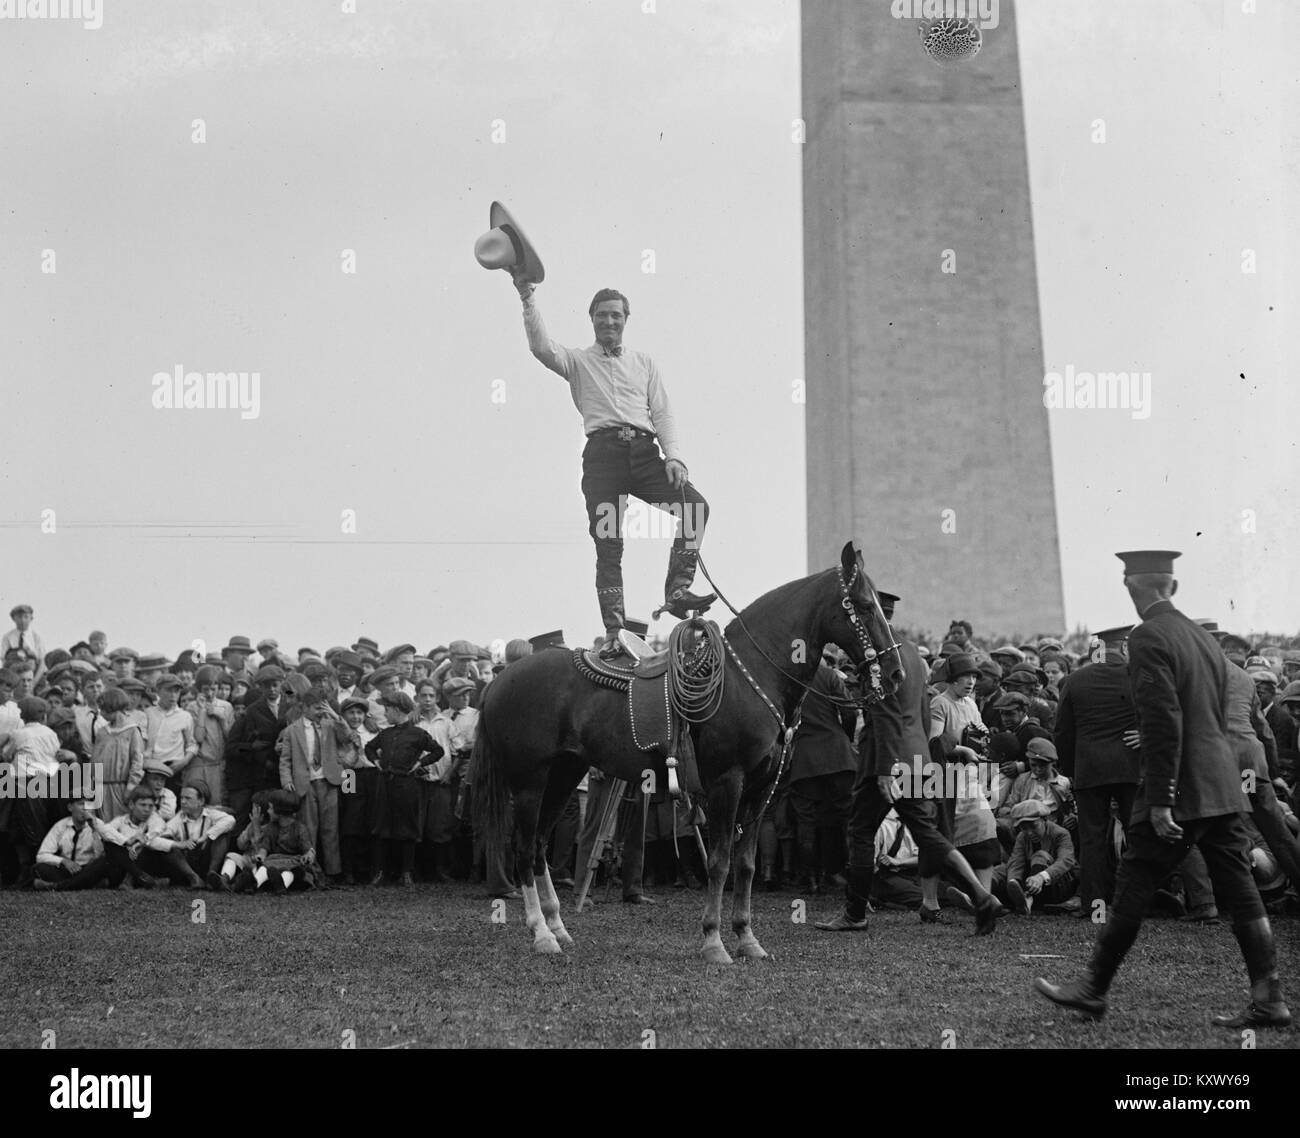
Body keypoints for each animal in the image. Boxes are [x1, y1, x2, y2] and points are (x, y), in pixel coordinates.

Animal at [470, 541, 904, 962]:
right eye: (864, 605)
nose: (897, 672)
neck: (752, 677)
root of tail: (500, 681)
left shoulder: (762, 789)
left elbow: (745, 864)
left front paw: (747, 938)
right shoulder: (728, 783)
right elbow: (719, 862)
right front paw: (714, 941)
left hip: (563, 774)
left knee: (538, 846)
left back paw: (558, 926)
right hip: (530, 781)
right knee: (523, 848)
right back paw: (541, 933)